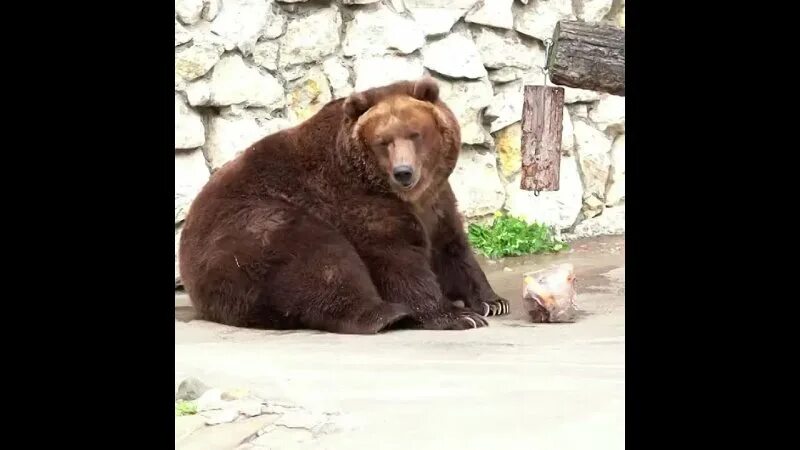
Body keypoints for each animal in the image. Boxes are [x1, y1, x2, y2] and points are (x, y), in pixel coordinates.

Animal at [179, 79, 510, 334]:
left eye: (415, 134)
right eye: (383, 141)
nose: (403, 172)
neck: (409, 195)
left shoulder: (437, 201)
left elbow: (453, 248)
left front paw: (492, 302)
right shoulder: (357, 201)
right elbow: (398, 259)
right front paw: (457, 315)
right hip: (252, 230)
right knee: (322, 259)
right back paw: (388, 314)